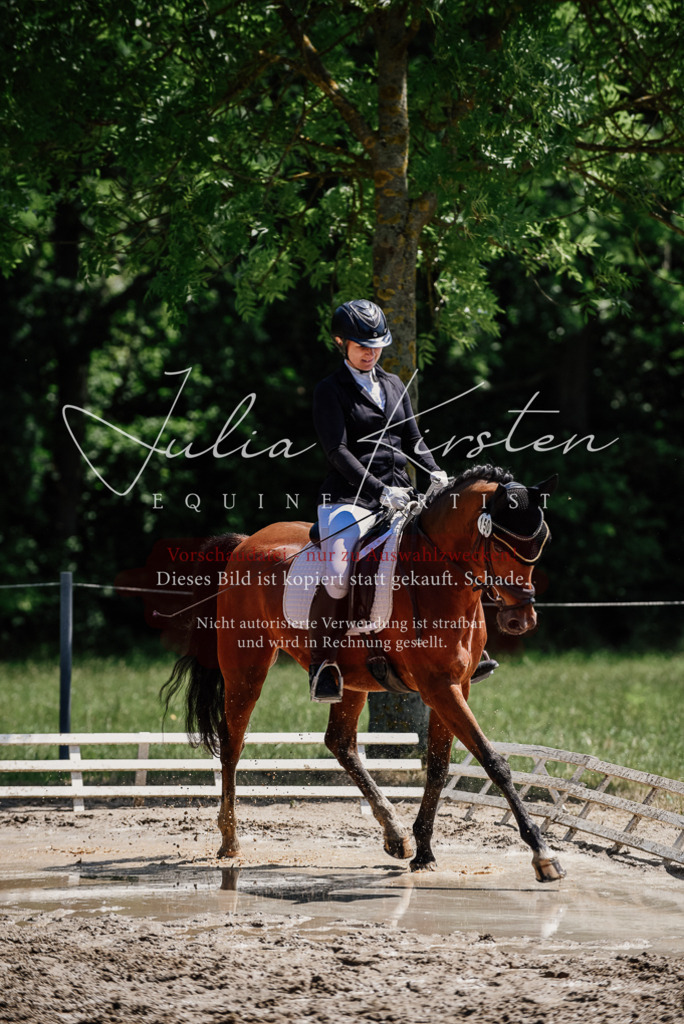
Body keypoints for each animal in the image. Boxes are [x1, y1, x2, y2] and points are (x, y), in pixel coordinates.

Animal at [162, 464, 565, 883]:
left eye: (543, 541)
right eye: (500, 546)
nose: (521, 619)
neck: (437, 577)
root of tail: (245, 542)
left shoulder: (457, 686)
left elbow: (438, 767)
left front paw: (423, 851)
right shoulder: (438, 687)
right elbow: (493, 762)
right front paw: (542, 855)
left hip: (351, 680)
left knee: (340, 742)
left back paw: (395, 835)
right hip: (247, 667)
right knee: (232, 744)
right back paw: (230, 841)